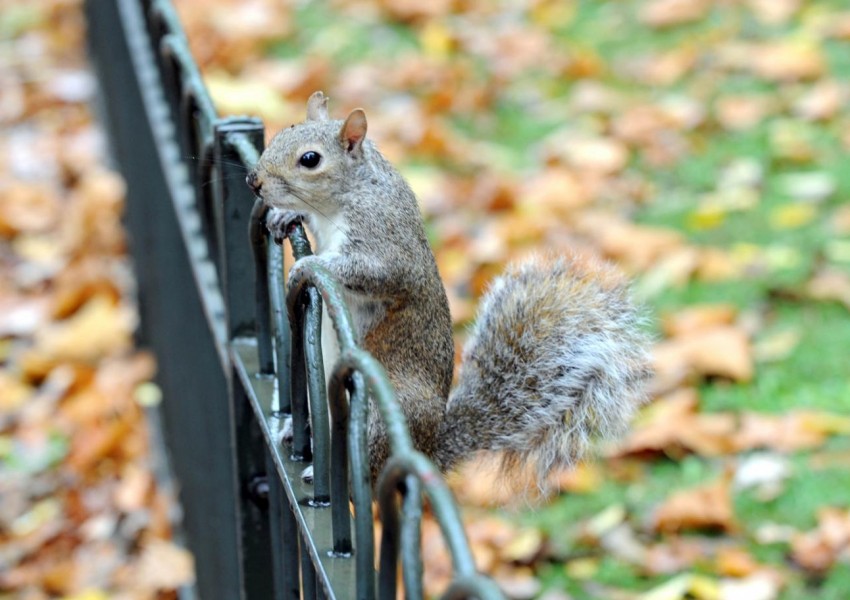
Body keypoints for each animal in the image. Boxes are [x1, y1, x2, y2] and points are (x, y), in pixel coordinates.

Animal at [245, 92, 648, 488]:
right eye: (281, 135)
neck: (345, 196)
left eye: (310, 159)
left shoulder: (386, 238)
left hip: (384, 410)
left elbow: (378, 272)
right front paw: (284, 215)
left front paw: (307, 265)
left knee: (369, 470)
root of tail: (427, 450)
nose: (254, 180)